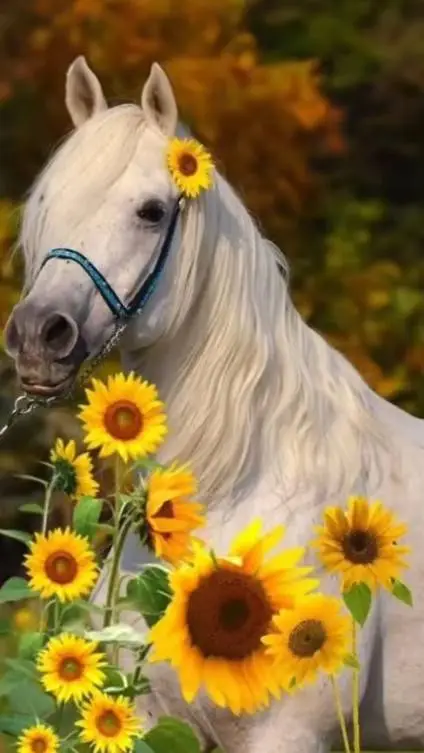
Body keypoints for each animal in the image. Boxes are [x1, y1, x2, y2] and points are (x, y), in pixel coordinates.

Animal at [4, 55, 424, 753]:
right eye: (45, 203)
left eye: (151, 211)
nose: (39, 336)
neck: (247, 481)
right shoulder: (145, 715)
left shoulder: (289, 732)